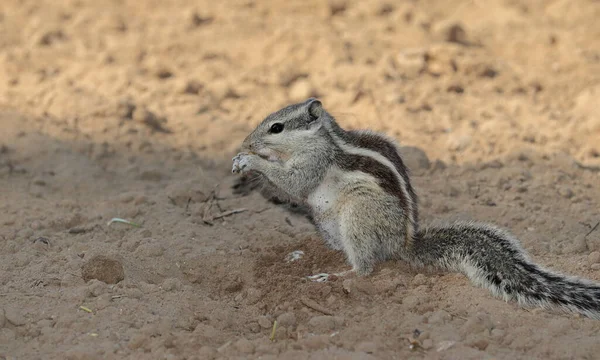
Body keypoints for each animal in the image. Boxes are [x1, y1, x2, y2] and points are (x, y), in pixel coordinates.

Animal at [232, 97, 600, 320]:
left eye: (276, 127)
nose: (247, 142)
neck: (323, 139)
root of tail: (404, 244)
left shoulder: (314, 163)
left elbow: (295, 183)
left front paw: (252, 160)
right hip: (327, 222)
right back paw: (303, 256)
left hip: (358, 215)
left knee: (365, 267)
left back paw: (334, 275)